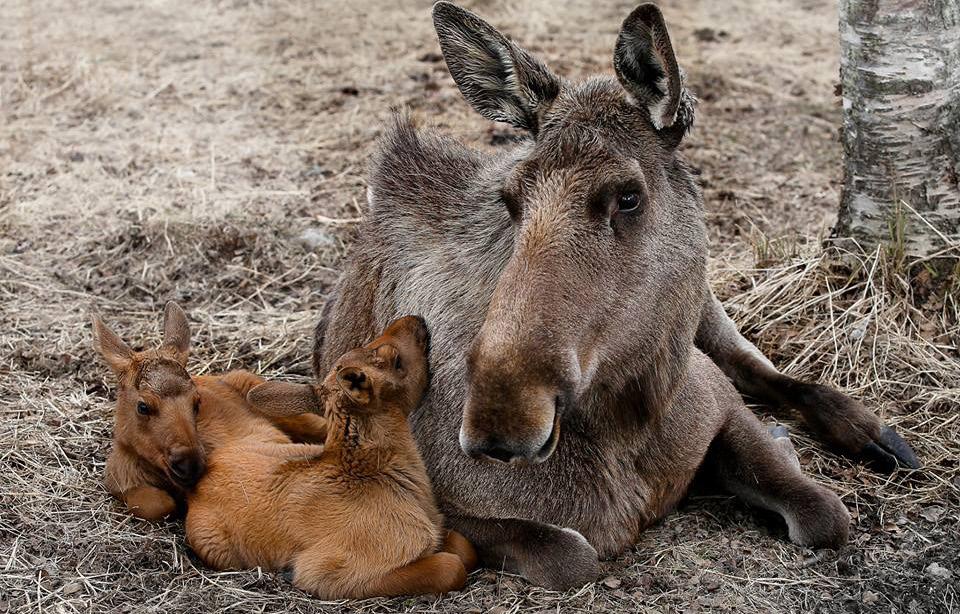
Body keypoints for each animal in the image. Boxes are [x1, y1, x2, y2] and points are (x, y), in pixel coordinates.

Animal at [312, 1, 920, 592]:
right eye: (509, 200)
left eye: (628, 197)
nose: (498, 421)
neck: (628, 425)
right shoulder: (442, 505)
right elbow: (570, 554)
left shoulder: (719, 402)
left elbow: (825, 516)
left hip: (706, 307)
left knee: (758, 364)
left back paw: (874, 434)